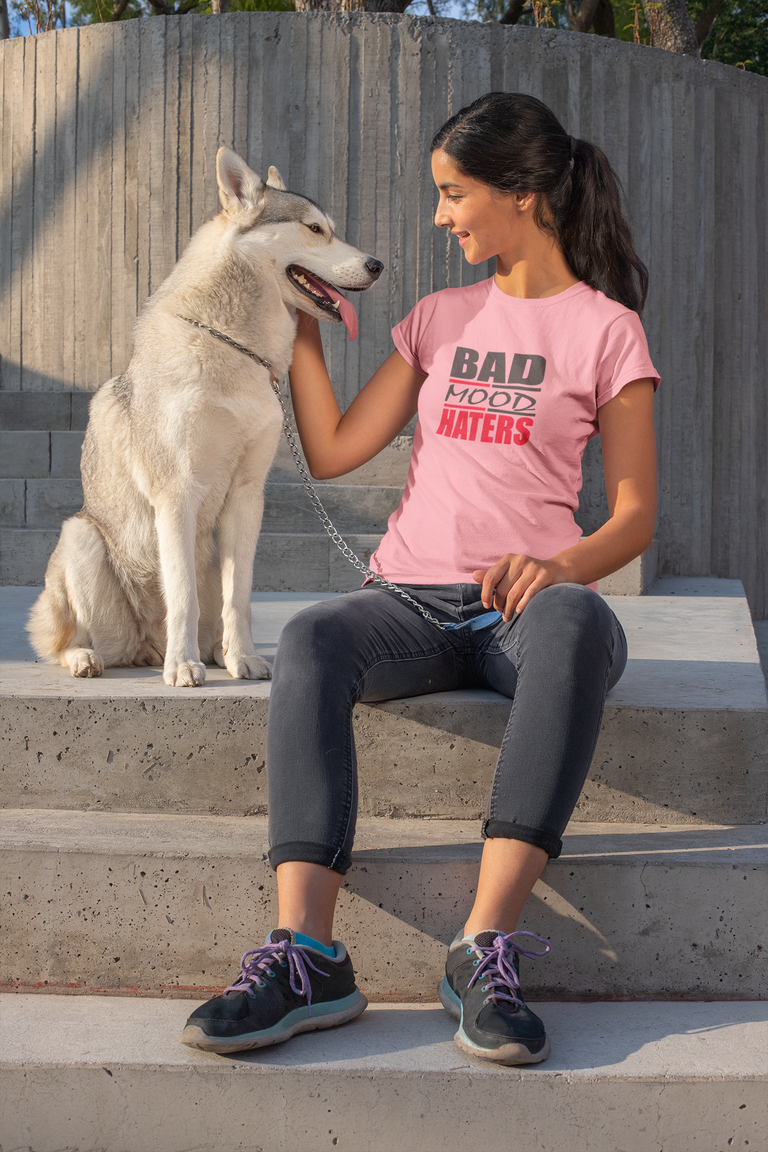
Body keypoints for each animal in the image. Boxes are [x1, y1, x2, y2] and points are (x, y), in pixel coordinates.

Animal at [29, 144, 384, 681]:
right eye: (315, 228)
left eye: (333, 228)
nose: (378, 264)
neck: (235, 346)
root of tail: (144, 645)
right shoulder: (177, 493)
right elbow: (182, 595)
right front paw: (182, 667)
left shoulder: (247, 497)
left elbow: (238, 598)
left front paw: (245, 659)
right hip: (81, 538)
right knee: (65, 639)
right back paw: (99, 657)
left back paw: (217, 652)